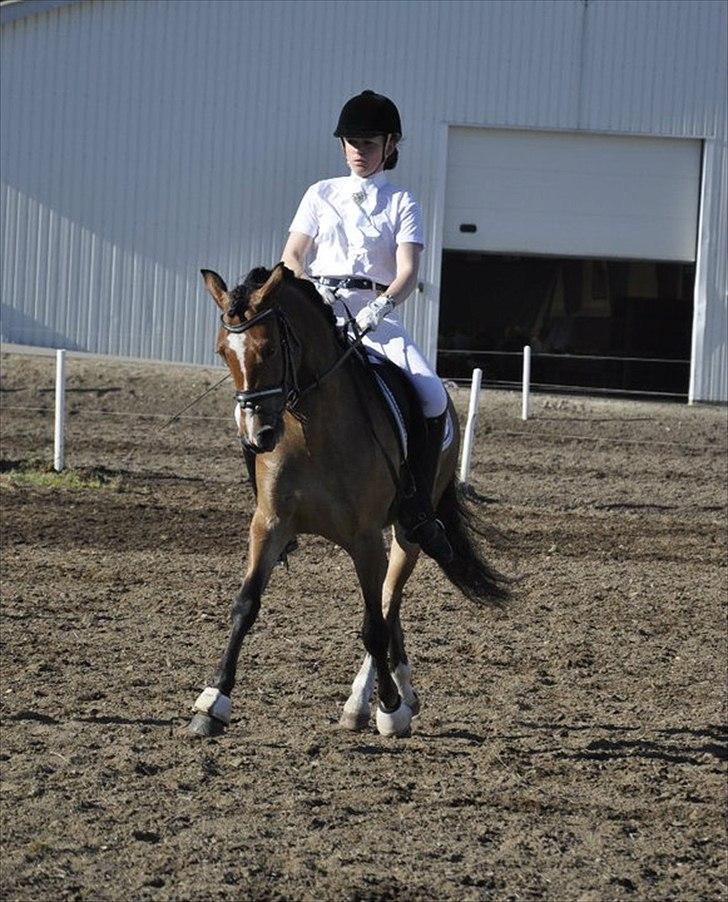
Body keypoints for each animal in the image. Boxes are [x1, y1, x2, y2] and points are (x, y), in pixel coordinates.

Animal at [189, 263, 507, 738]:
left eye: (269, 348)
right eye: (222, 351)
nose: (257, 436)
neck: (311, 431)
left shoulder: (365, 539)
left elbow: (372, 626)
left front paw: (389, 708)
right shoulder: (269, 525)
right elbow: (245, 606)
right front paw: (213, 701)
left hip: (408, 532)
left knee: (389, 603)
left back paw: (372, 700)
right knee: (389, 609)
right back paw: (396, 693)